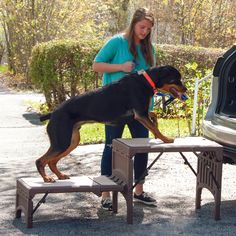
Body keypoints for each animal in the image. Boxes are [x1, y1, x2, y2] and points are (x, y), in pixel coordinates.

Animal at [36, 65, 186, 183]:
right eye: (176, 78)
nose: (185, 89)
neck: (145, 81)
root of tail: (53, 113)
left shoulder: (140, 114)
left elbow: (154, 116)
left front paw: (158, 132)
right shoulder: (140, 114)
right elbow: (154, 127)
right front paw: (166, 139)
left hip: (72, 141)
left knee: (52, 161)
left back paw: (60, 175)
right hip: (62, 142)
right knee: (41, 161)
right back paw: (47, 178)